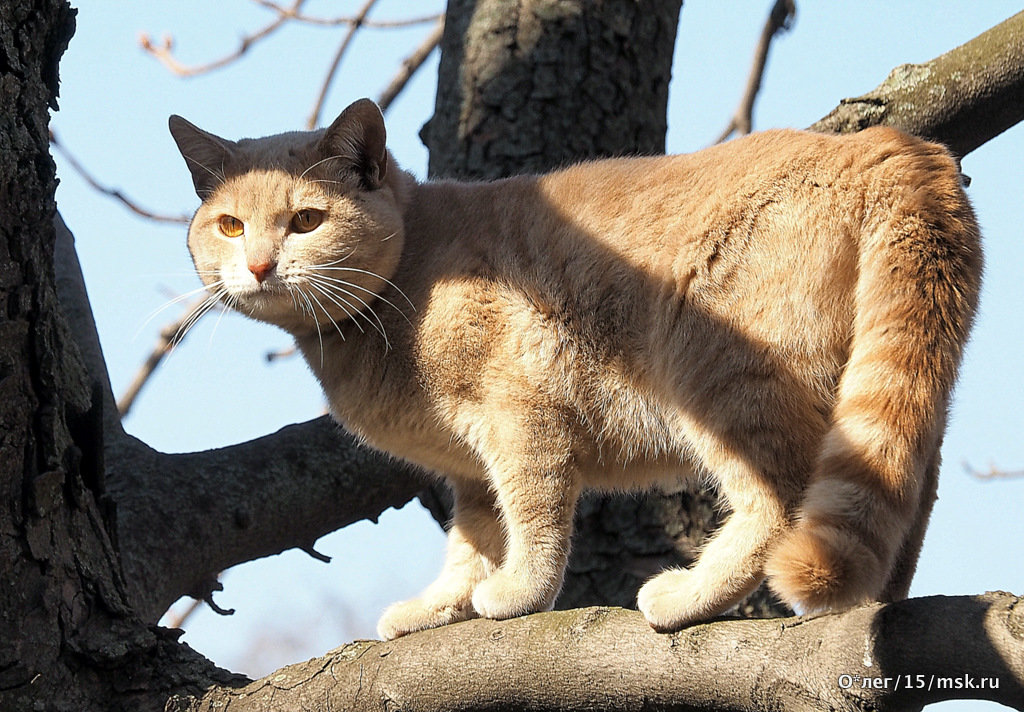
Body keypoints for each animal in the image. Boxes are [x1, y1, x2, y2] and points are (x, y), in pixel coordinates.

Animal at [169, 96, 983, 639]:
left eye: (307, 220)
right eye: (230, 225)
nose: (259, 265)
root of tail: (887, 144)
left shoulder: (522, 423)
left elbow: (533, 521)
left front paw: (518, 595)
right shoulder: (471, 471)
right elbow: (472, 542)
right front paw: (441, 606)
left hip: (721, 380)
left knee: (780, 501)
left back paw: (684, 596)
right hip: (895, 396)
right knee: (899, 499)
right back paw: (878, 604)